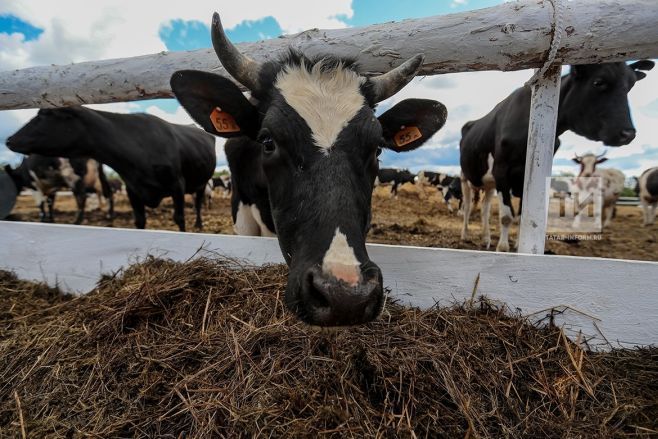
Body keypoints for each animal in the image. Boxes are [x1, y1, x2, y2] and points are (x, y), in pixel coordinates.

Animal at [6, 106, 215, 232]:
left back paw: (199, 224)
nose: (9, 139)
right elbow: (140, 220)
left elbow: (179, 218)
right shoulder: (132, 189)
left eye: (43, 116)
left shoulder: (177, 185)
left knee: (198, 204)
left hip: (202, 182)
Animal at [458, 59, 652, 251]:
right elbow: (506, 217)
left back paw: (485, 239)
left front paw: (520, 246)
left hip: (489, 183)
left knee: (485, 208)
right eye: (598, 82)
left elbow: (522, 218)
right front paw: (503, 248)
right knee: (467, 207)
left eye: (630, 86)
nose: (628, 133)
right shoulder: (501, 171)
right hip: (465, 178)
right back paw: (465, 235)